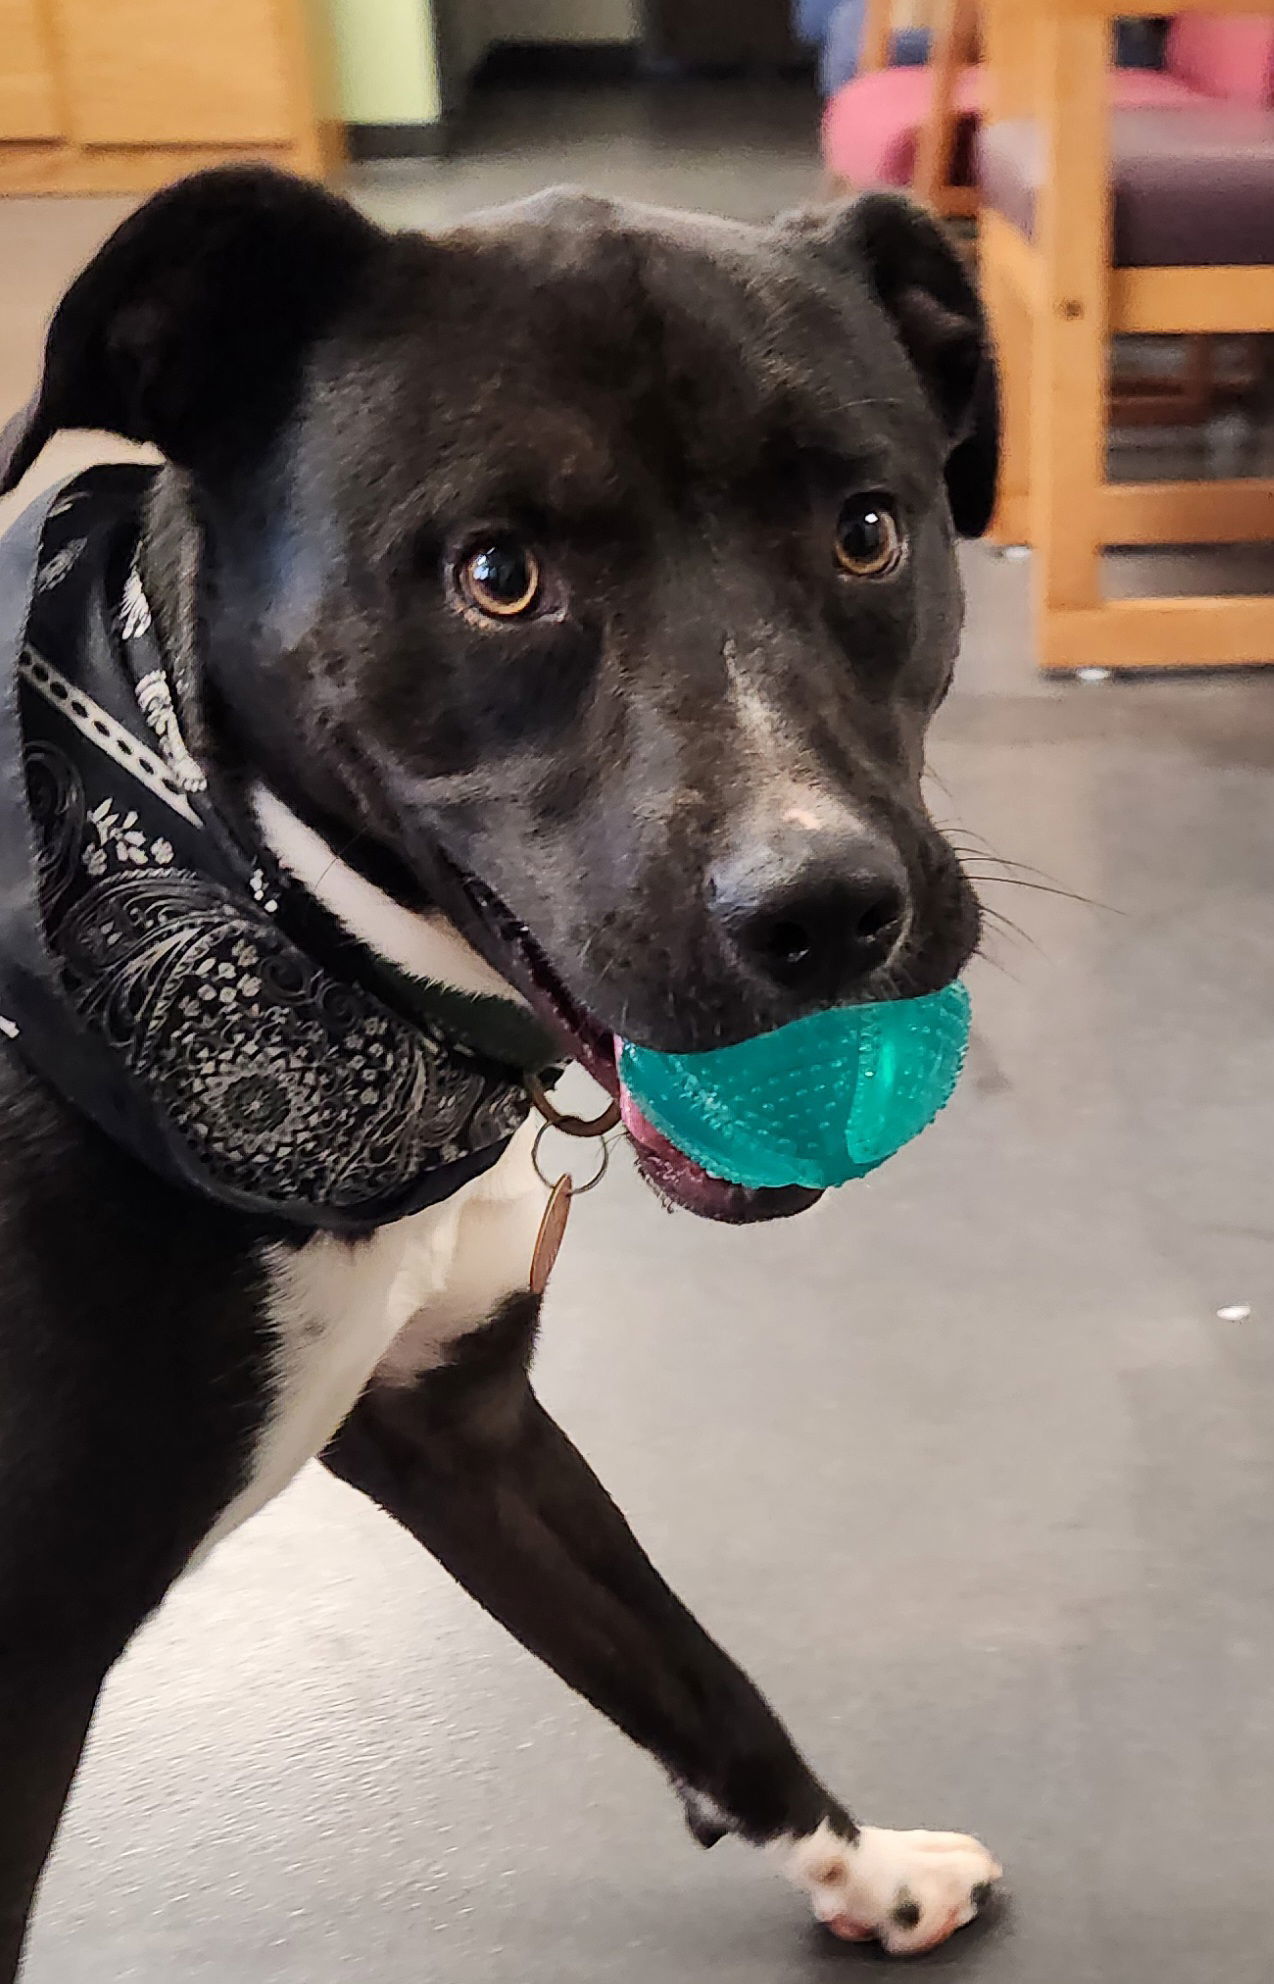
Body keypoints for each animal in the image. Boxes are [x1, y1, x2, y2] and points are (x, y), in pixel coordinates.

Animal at [0, 166, 996, 1968]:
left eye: (866, 531)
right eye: (497, 575)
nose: (825, 908)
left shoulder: (458, 1417)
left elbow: (696, 1677)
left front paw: (864, 1866)